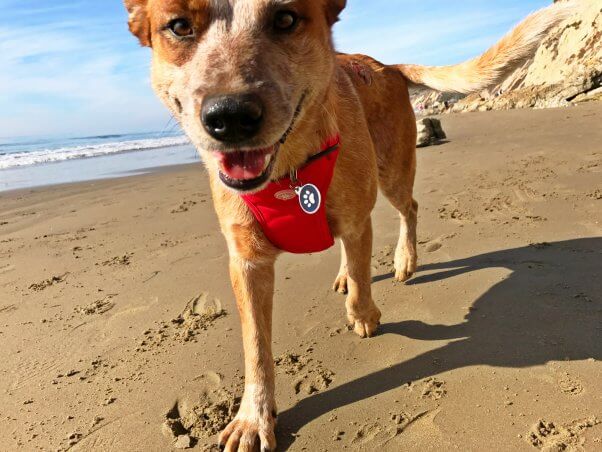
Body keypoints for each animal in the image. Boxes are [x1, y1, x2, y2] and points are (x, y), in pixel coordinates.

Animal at [124, 2, 568, 448]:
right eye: (179, 26)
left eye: (285, 19)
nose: (230, 116)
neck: (290, 170)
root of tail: (388, 66)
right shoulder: (247, 260)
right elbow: (256, 346)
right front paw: (253, 417)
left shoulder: (358, 220)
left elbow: (361, 277)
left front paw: (363, 314)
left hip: (393, 171)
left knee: (409, 208)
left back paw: (405, 259)